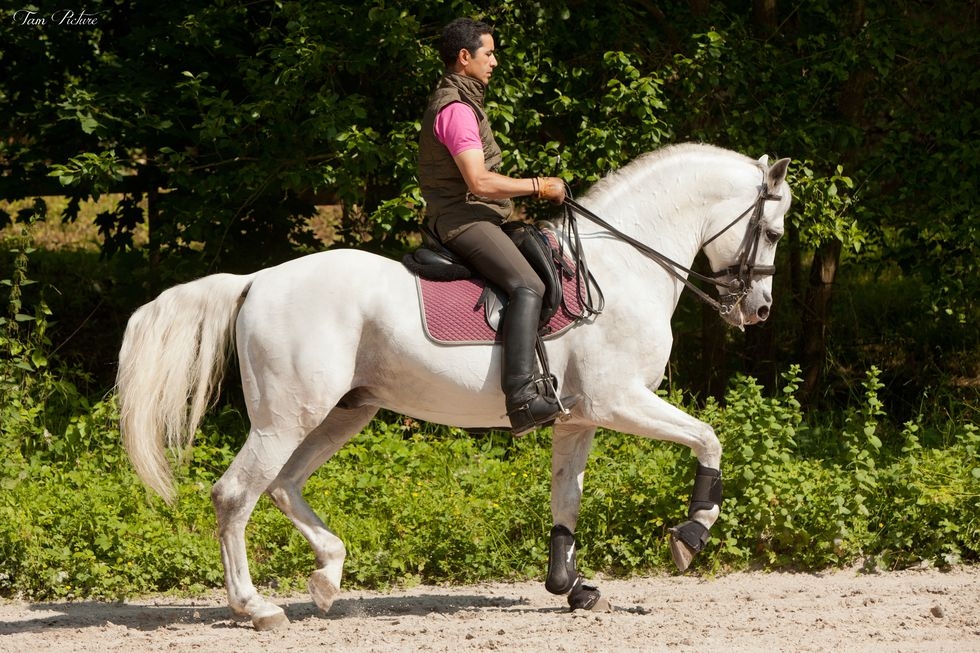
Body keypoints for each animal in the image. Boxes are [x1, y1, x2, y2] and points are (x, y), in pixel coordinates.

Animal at [117, 142, 792, 630]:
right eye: (775, 232)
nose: (758, 310)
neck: (624, 267)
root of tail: (257, 280)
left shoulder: (578, 419)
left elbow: (565, 500)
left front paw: (571, 588)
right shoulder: (619, 401)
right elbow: (709, 439)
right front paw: (691, 536)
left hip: (342, 413)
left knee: (283, 485)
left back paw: (328, 579)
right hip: (287, 416)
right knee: (236, 495)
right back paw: (258, 608)